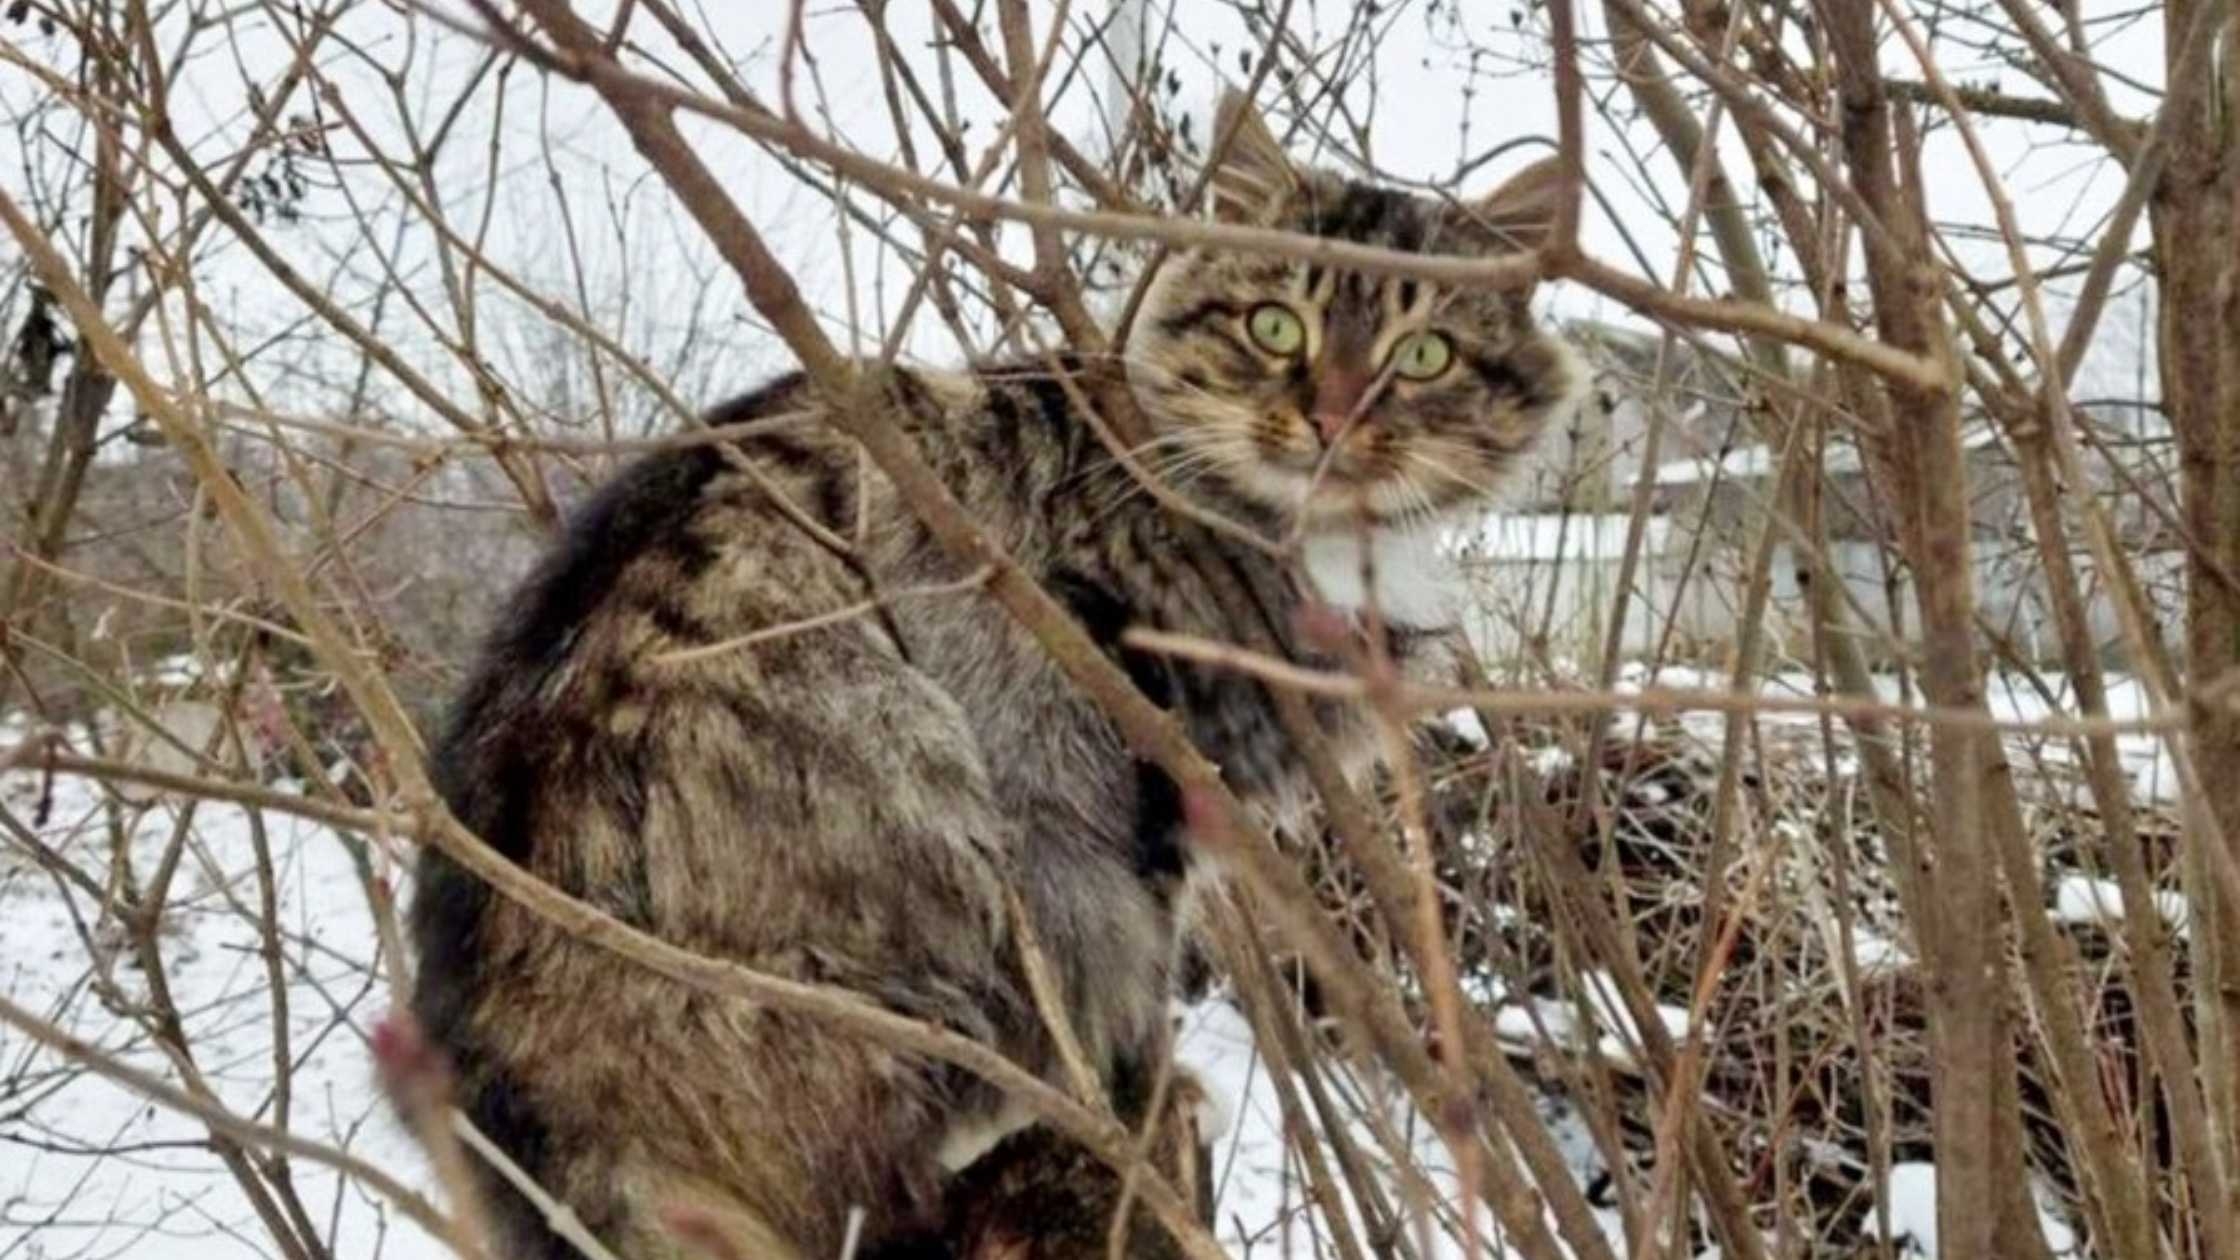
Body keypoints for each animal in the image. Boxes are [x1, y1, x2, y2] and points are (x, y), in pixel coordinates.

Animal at [407, 90, 1594, 1255]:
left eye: (1422, 355)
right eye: (1274, 328)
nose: (1334, 415)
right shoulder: (1136, 751)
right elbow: (1149, 968)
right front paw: (1148, 1089)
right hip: (928, 797)